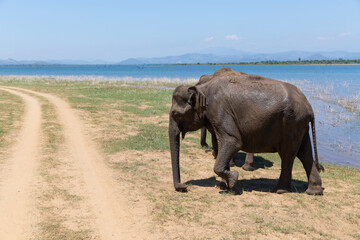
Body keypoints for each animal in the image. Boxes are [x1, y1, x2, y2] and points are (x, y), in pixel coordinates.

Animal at [168, 67, 324, 195]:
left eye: (175, 114)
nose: (184, 187)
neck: (201, 88)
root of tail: (310, 107)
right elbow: (224, 144)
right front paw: (224, 185)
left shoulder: (219, 110)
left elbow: (232, 141)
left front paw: (233, 180)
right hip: (299, 124)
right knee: (304, 153)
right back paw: (314, 191)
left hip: (291, 122)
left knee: (288, 155)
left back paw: (280, 190)